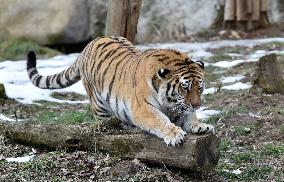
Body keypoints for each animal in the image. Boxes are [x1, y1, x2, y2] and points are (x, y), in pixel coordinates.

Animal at [26, 36, 214, 146]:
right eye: (184, 88)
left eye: (200, 88)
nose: (197, 105)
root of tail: (87, 46)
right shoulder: (143, 108)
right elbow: (160, 120)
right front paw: (175, 135)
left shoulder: (181, 107)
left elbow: (188, 116)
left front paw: (200, 126)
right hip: (99, 104)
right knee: (104, 124)